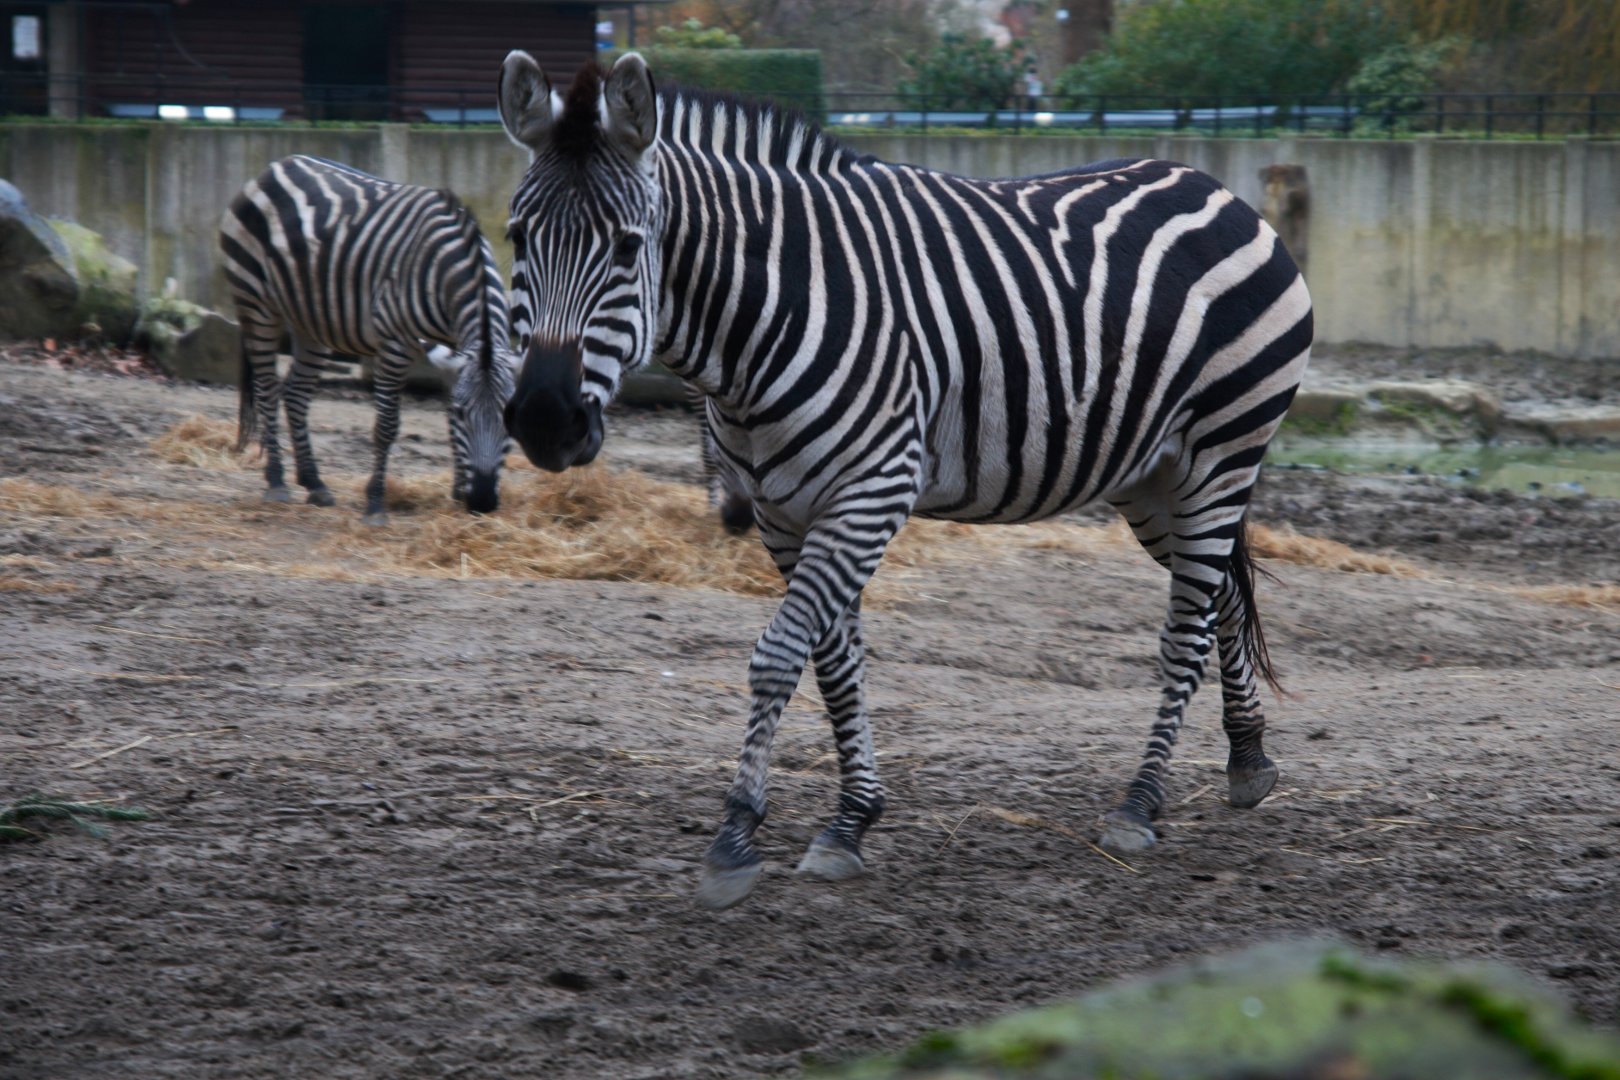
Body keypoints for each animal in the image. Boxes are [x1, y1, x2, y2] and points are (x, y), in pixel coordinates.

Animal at [220, 154, 519, 521]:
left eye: (509, 417)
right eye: (466, 414)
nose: (482, 502)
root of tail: (275, 166)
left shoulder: (453, 350)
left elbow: (446, 419)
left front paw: (458, 491)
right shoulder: (395, 342)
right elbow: (387, 425)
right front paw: (375, 503)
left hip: (311, 320)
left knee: (295, 393)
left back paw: (314, 482)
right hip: (256, 302)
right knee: (267, 390)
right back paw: (276, 482)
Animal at [497, 54, 1313, 910]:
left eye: (627, 247)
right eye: (517, 237)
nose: (545, 418)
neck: (772, 312)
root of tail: (1214, 186)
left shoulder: (870, 493)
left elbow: (779, 654)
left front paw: (736, 836)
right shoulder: (787, 512)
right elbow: (833, 661)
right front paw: (852, 819)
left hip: (1222, 451)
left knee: (1184, 628)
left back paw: (1140, 804)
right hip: (1153, 476)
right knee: (1221, 594)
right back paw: (1248, 758)